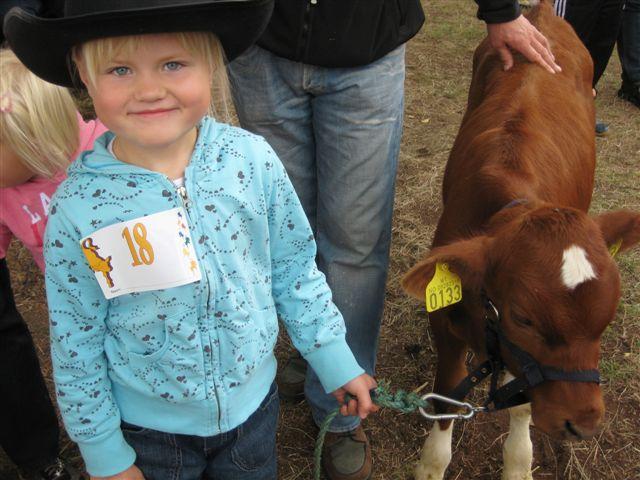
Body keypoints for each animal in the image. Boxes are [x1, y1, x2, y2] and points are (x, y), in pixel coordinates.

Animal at [402, 1, 636, 478]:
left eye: (607, 315)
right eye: (523, 318)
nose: (583, 424)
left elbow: (523, 404)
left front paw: (517, 462)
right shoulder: (445, 321)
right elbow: (446, 398)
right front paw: (431, 464)